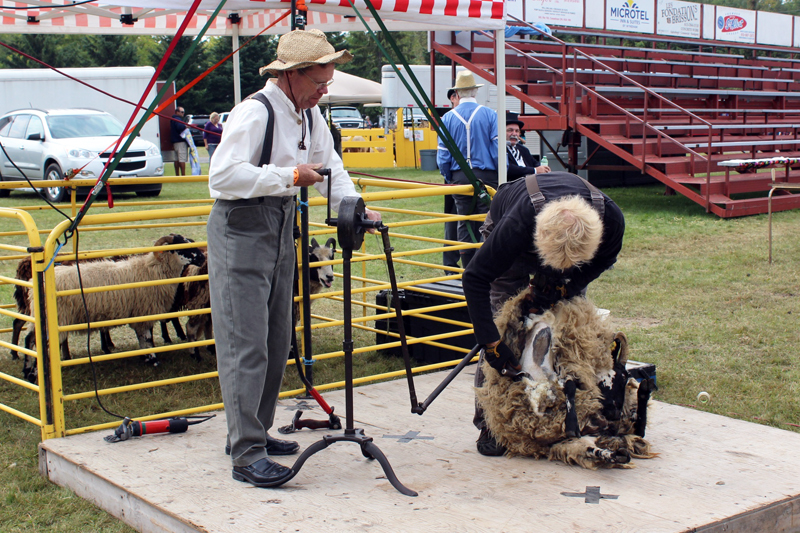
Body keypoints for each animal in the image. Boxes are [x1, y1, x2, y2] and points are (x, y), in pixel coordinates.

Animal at [476, 288, 656, 468]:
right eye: (624, 376)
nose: (615, 414)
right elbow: (569, 385)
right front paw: (571, 425)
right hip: (580, 439)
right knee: (625, 440)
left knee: (633, 435)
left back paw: (644, 390)